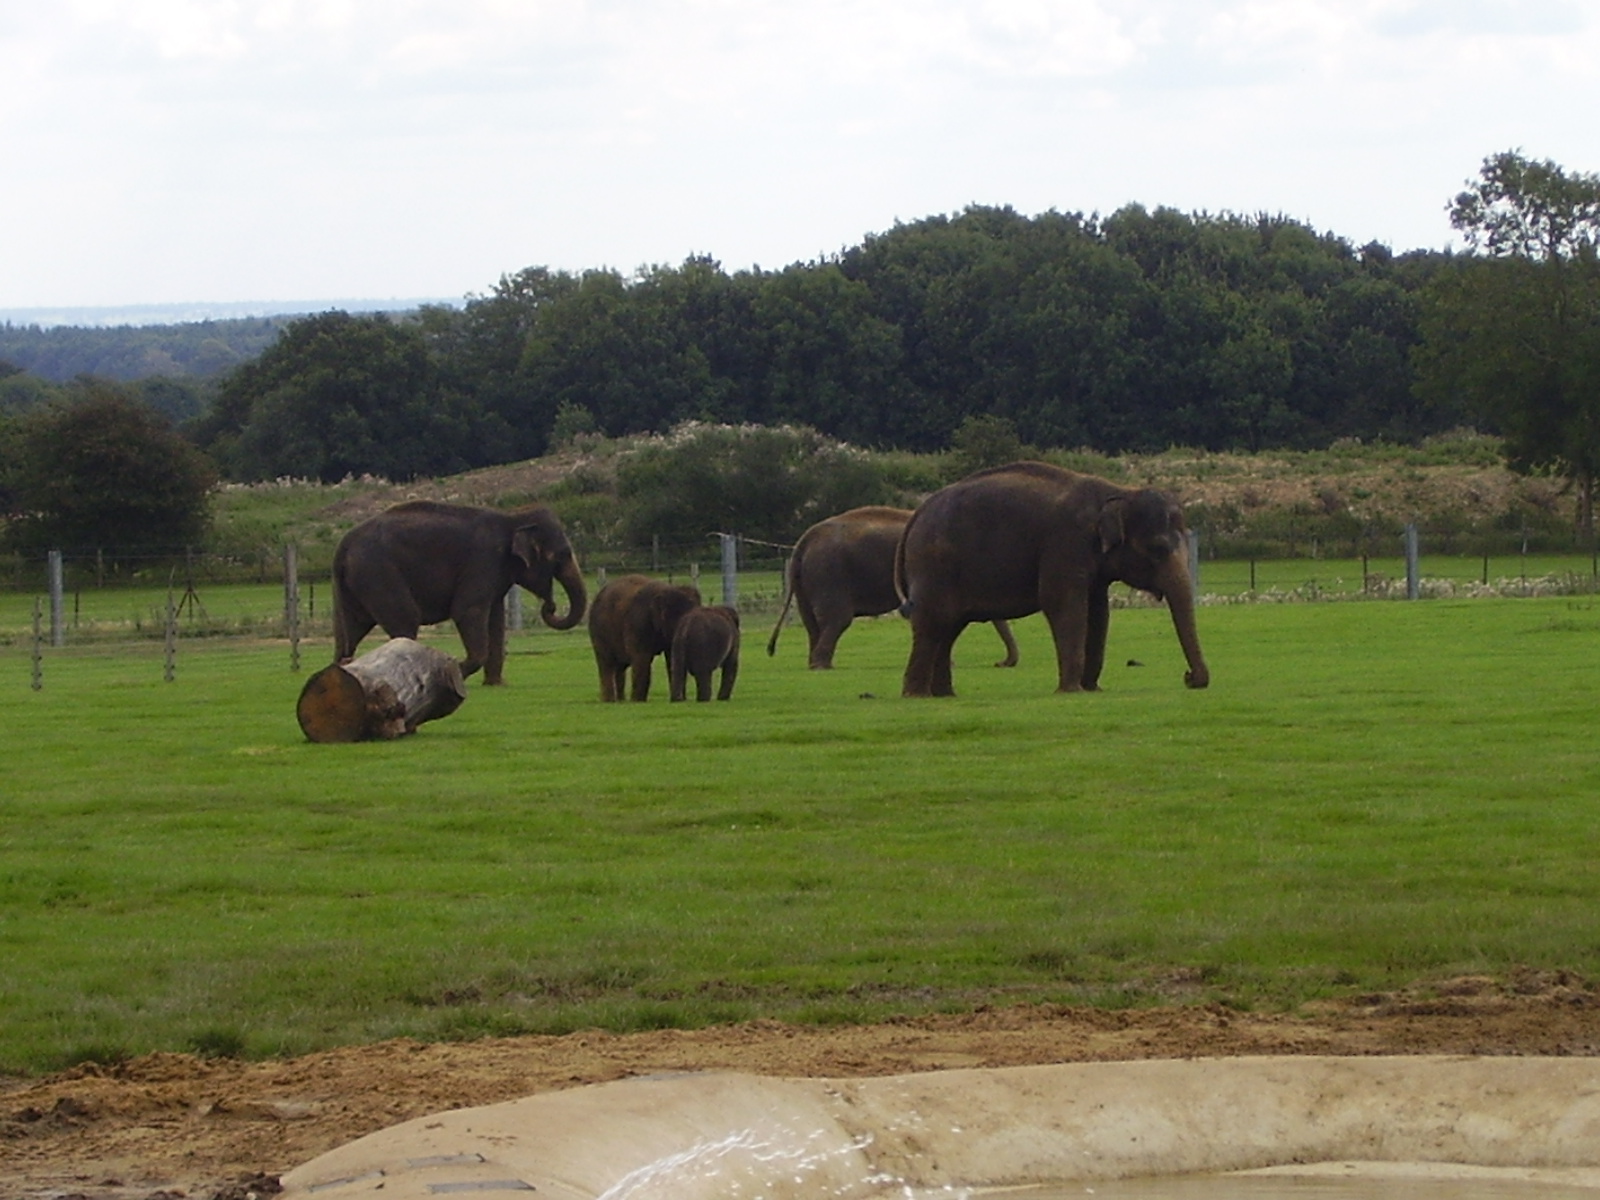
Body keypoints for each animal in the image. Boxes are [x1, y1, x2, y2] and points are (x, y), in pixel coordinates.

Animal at [332, 500, 586, 686]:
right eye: (561, 556)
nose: (550, 606)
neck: (512, 516)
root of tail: (343, 545)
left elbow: (496, 620)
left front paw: (496, 684)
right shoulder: (483, 561)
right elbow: (467, 611)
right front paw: (456, 672)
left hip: (354, 585)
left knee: (349, 633)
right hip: (379, 574)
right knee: (405, 621)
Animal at [766, 506, 1018, 670]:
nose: (1000, 663)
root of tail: (806, 538)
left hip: (806, 579)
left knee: (811, 622)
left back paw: (816, 664)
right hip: (829, 573)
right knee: (837, 619)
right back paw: (822, 667)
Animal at [894, 462, 1209, 697]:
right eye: (1158, 548)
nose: (1188, 677)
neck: (1118, 492)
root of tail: (916, 515)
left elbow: (1098, 612)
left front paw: (1092, 689)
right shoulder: (1065, 543)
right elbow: (1062, 602)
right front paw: (1072, 691)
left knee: (948, 628)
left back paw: (944, 695)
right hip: (934, 567)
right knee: (934, 622)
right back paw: (917, 695)